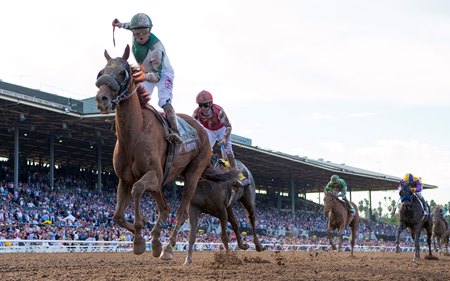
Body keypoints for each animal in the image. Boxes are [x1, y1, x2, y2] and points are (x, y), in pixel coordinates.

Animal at [95, 44, 229, 260]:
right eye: (101, 72)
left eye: (122, 73)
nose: (102, 99)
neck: (135, 133)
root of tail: (201, 129)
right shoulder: (124, 179)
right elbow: (117, 217)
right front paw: (144, 236)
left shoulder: (153, 175)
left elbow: (137, 190)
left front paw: (139, 239)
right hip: (161, 182)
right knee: (165, 209)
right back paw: (158, 242)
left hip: (193, 174)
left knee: (181, 213)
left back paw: (167, 248)